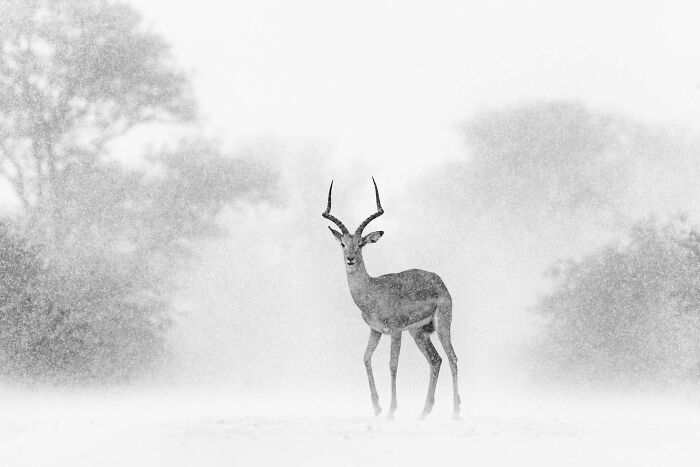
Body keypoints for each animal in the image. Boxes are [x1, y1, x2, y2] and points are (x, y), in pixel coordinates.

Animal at [322, 178, 460, 419]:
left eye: (361, 244)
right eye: (342, 244)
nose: (350, 258)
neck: (373, 292)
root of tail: (439, 280)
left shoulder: (395, 331)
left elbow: (392, 365)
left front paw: (390, 410)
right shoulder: (375, 330)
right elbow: (366, 358)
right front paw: (377, 408)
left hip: (442, 325)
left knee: (452, 358)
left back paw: (455, 411)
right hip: (418, 333)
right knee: (436, 360)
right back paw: (424, 412)